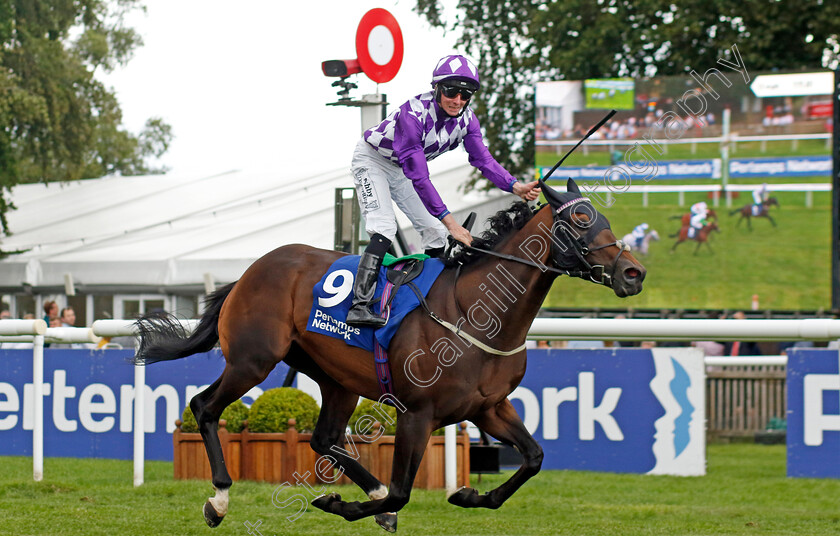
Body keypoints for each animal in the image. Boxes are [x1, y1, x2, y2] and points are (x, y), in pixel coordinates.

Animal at [133, 177, 644, 532]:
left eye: (604, 219)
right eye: (581, 221)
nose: (633, 273)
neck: (477, 312)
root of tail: (250, 270)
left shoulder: (489, 407)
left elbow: (534, 457)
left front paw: (468, 496)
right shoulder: (416, 413)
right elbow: (401, 492)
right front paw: (339, 502)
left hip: (333, 378)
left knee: (323, 438)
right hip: (252, 360)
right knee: (204, 406)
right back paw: (218, 500)